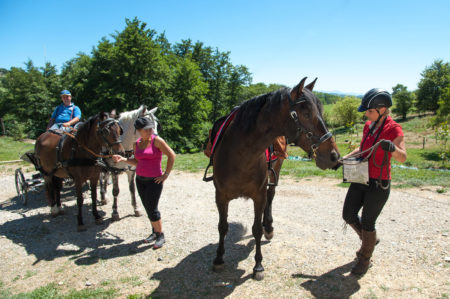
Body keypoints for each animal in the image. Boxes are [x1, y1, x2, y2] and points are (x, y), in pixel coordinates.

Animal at [213, 77, 340, 282]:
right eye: (305, 113)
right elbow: (222, 227)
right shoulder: (220, 196)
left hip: (276, 169)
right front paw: (218, 259)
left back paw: (269, 226)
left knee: (271, 195)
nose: (334, 156)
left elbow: (256, 228)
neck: (240, 155)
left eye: (320, 111)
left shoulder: (258, 195)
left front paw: (258, 265)